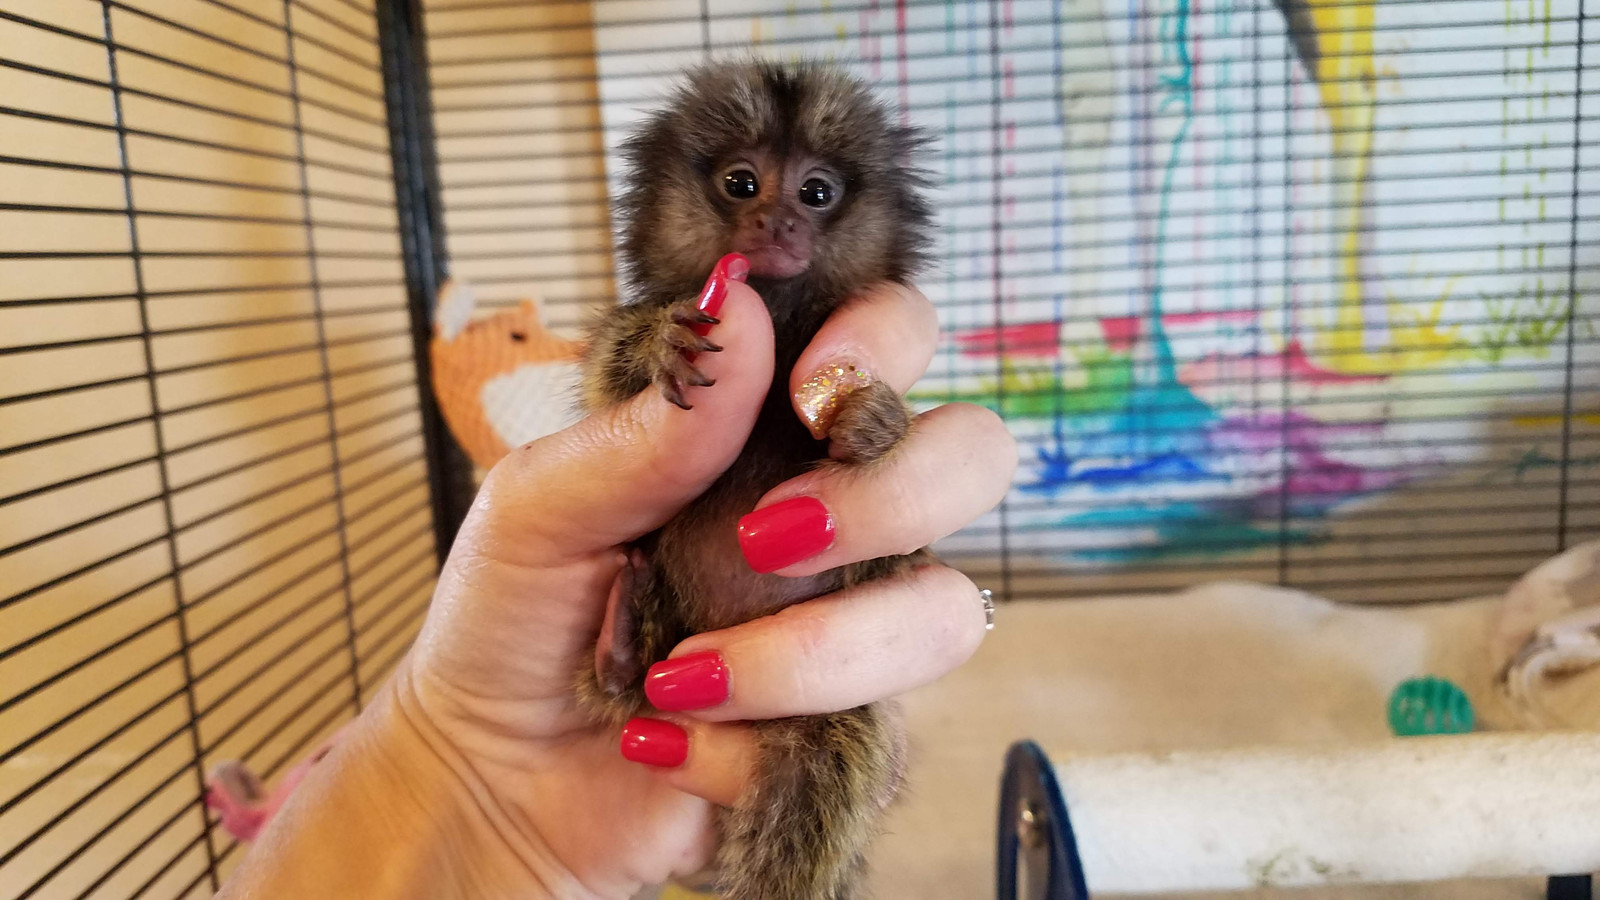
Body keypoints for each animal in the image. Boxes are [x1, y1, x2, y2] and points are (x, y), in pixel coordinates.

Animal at [575, 59, 934, 900]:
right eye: (742, 184)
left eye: (816, 192)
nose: (777, 223)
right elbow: (613, 370)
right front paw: (659, 340)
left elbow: (901, 557)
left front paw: (875, 422)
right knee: (629, 688)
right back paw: (619, 648)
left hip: (825, 721)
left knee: (829, 767)